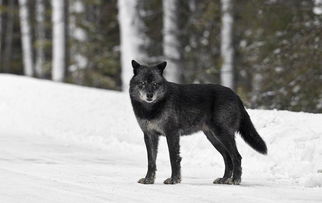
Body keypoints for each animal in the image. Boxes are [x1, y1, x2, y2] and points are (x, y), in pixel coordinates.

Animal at [128, 59, 266, 185]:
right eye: (142, 83)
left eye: (155, 84)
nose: (149, 95)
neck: (151, 109)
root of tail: (236, 96)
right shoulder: (149, 135)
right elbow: (151, 161)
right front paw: (148, 180)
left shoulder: (172, 133)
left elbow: (173, 158)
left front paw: (174, 180)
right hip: (214, 138)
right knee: (227, 157)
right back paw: (224, 179)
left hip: (222, 135)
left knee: (236, 156)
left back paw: (235, 180)